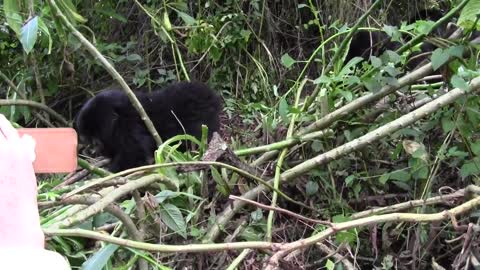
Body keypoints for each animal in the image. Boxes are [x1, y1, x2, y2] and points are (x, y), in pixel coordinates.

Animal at [75, 81, 223, 172]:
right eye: (87, 139)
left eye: (95, 139)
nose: (90, 150)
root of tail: (212, 97)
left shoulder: (128, 128)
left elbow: (135, 156)